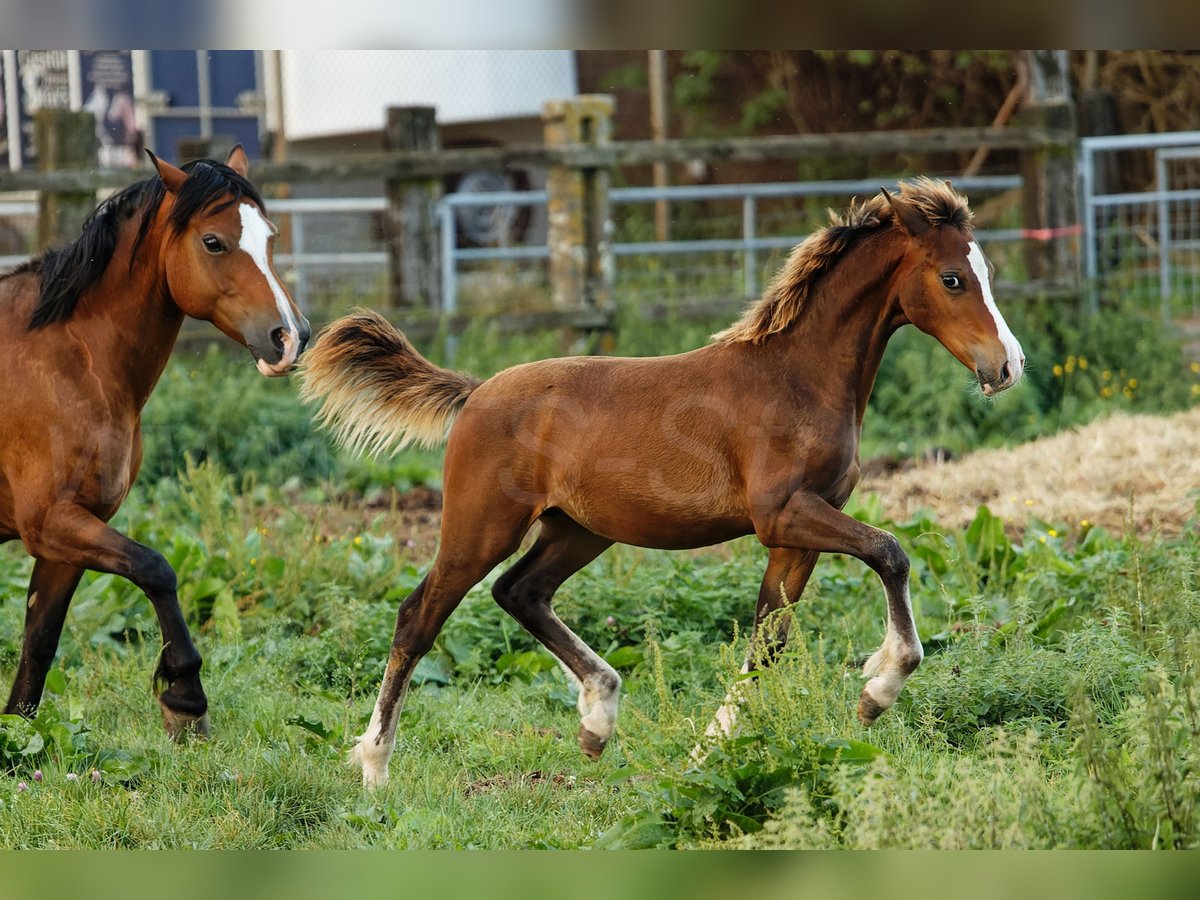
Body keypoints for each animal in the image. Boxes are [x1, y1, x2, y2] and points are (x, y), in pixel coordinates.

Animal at [1, 146, 309, 739]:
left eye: (271, 235)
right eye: (213, 241)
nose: (291, 337)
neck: (68, 356)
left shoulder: (68, 534)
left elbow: (38, 646)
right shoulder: (51, 522)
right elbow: (156, 568)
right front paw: (185, 697)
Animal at [300, 177, 1022, 787]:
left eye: (986, 273)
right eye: (953, 278)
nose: (1007, 366)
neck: (796, 378)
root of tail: (476, 394)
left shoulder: (796, 534)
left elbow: (767, 642)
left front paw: (710, 751)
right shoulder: (783, 514)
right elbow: (890, 552)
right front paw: (879, 689)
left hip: (579, 530)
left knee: (520, 592)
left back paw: (597, 719)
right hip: (482, 526)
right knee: (419, 615)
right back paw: (375, 767)